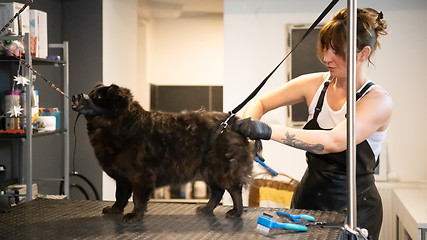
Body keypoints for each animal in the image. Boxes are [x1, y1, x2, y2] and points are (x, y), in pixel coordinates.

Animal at [72, 83, 256, 222]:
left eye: (98, 98)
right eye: (90, 94)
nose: (74, 96)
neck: (123, 125)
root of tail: (233, 122)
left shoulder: (141, 175)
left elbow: (137, 198)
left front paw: (134, 215)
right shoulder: (122, 177)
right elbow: (120, 196)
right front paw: (115, 209)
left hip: (220, 169)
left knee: (234, 190)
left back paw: (236, 212)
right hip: (207, 171)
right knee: (218, 192)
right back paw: (207, 208)